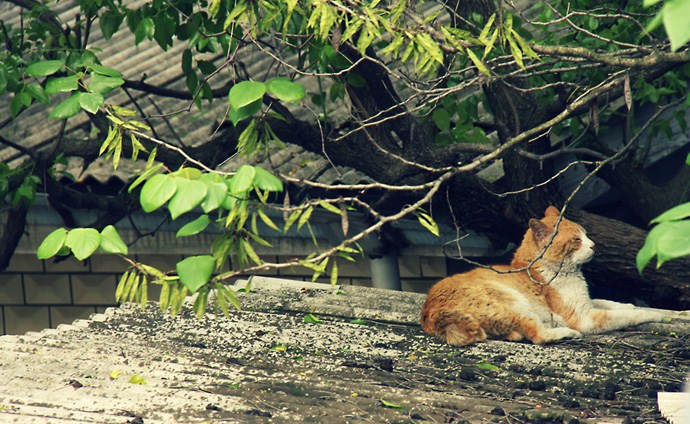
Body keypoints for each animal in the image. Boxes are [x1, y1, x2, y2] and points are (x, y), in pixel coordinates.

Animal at [420, 207, 668, 346]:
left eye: (586, 234)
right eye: (576, 240)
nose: (594, 245)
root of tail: (432, 312)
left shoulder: (586, 303)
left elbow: (613, 303)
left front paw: (635, 305)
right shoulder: (585, 318)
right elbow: (627, 315)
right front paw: (656, 315)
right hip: (515, 303)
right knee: (537, 335)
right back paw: (565, 333)